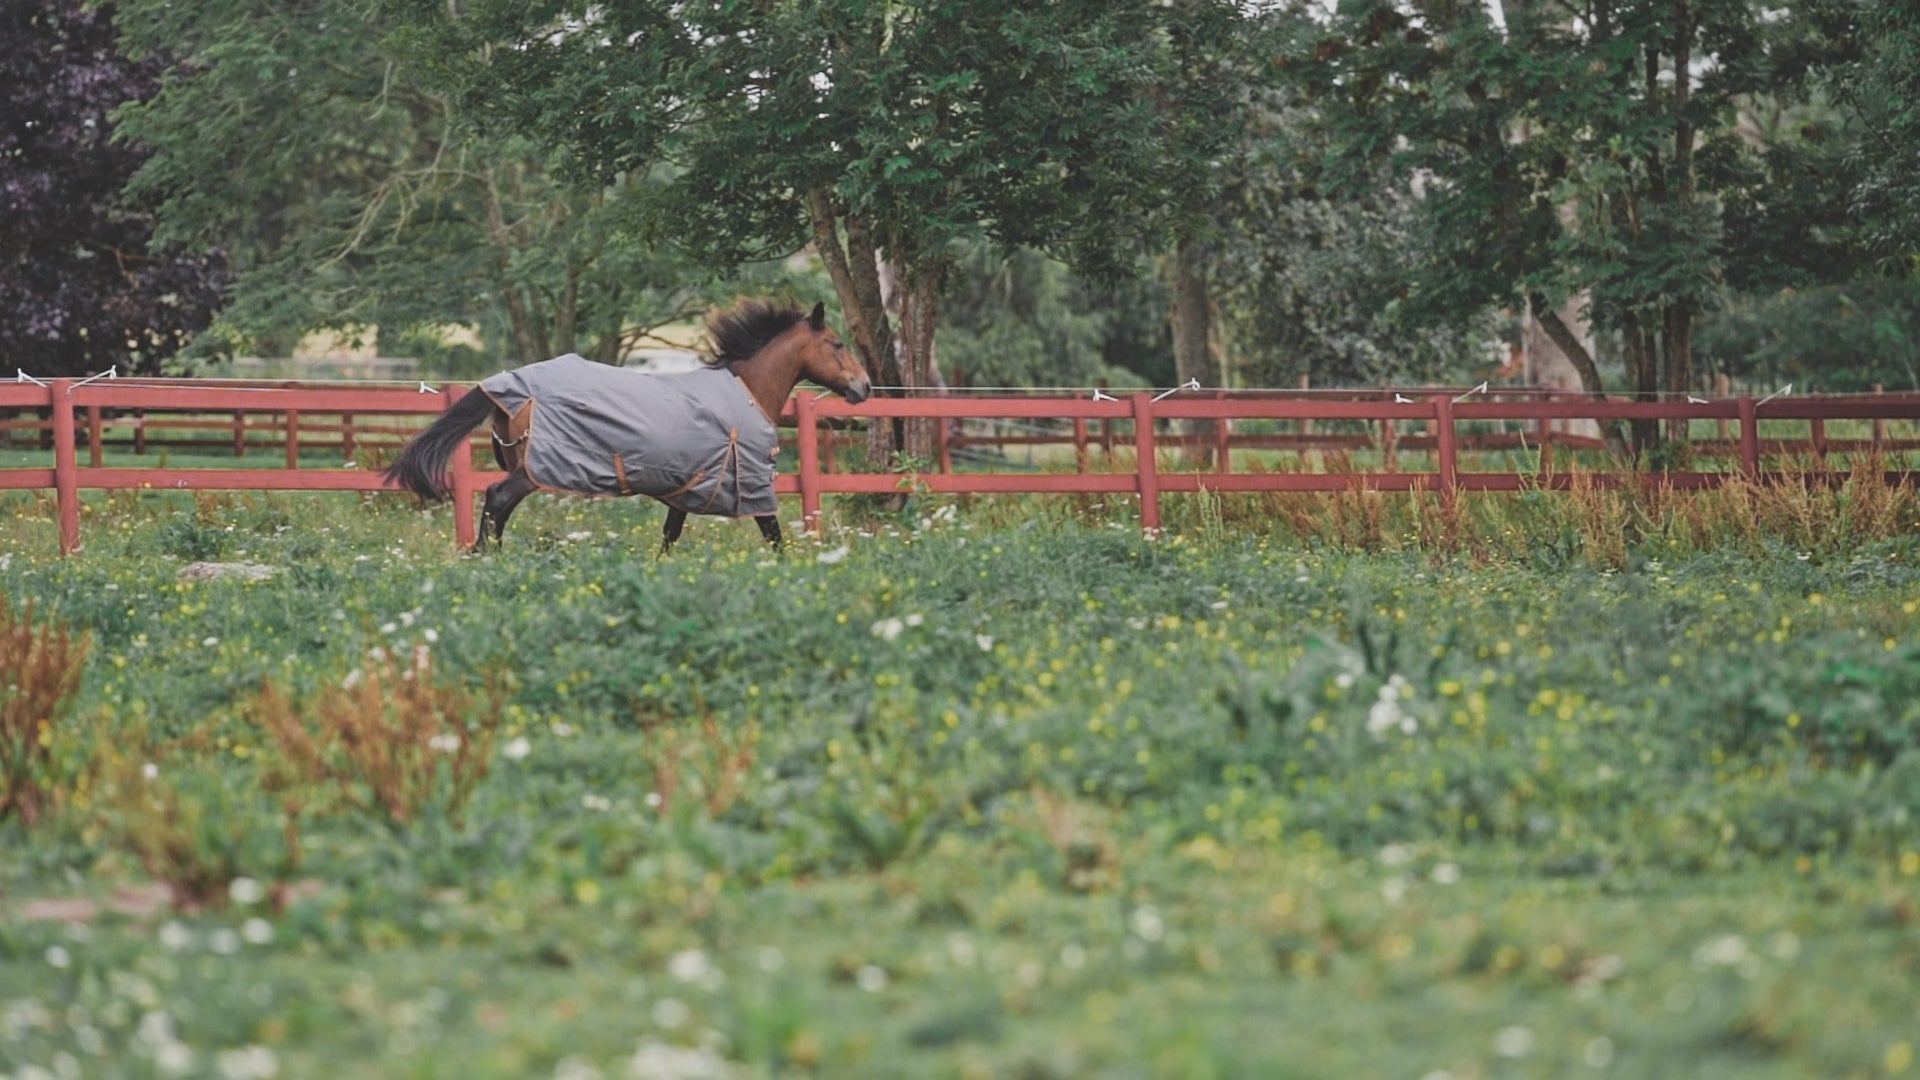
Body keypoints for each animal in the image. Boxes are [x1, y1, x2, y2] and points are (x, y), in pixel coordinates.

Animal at [385, 297, 867, 549]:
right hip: (532, 472)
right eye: (837, 343)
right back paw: (486, 559)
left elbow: (669, 536)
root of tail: (504, 387)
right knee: (496, 500)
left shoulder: (687, 486)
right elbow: (774, 534)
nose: (863, 387)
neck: (747, 391)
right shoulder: (750, 482)